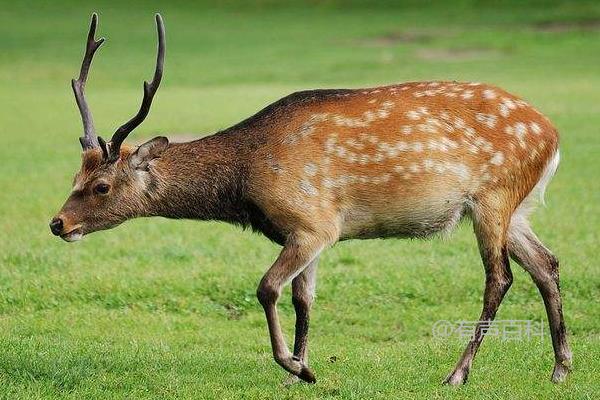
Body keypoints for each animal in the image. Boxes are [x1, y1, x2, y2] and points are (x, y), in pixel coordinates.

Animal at [49, 14, 568, 386]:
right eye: (74, 174)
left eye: (101, 186)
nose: (58, 223)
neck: (245, 181)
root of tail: (552, 135)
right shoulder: (307, 233)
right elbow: (304, 298)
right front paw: (302, 371)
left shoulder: (313, 222)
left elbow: (267, 288)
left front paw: (295, 366)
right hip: (516, 207)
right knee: (546, 264)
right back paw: (561, 368)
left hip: (493, 197)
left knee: (500, 277)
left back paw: (457, 373)